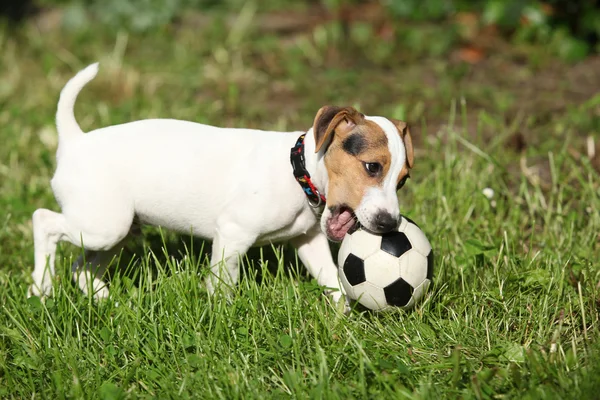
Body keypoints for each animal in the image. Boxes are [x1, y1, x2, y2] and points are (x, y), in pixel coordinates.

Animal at [28, 61, 412, 304]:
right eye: (372, 166)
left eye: (403, 181)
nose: (389, 224)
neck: (297, 172)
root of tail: (75, 140)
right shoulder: (233, 234)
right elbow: (223, 284)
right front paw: (223, 314)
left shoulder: (310, 242)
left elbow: (332, 279)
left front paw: (342, 318)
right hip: (102, 225)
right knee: (43, 221)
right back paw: (41, 287)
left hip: (114, 231)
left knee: (80, 267)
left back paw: (106, 299)